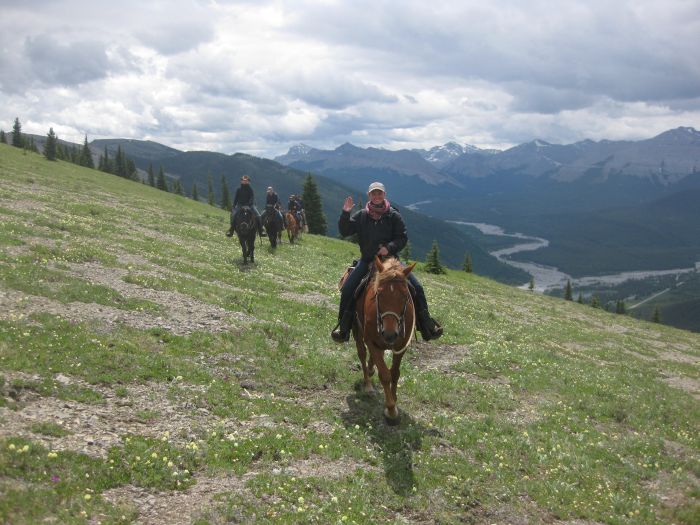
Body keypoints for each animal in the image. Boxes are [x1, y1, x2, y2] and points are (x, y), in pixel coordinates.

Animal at [340, 256, 416, 424]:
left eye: (405, 296)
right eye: (378, 294)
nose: (389, 334)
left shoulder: (401, 345)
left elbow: (395, 373)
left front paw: (394, 399)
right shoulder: (371, 341)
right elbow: (385, 375)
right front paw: (391, 410)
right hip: (356, 328)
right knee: (362, 354)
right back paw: (368, 385)